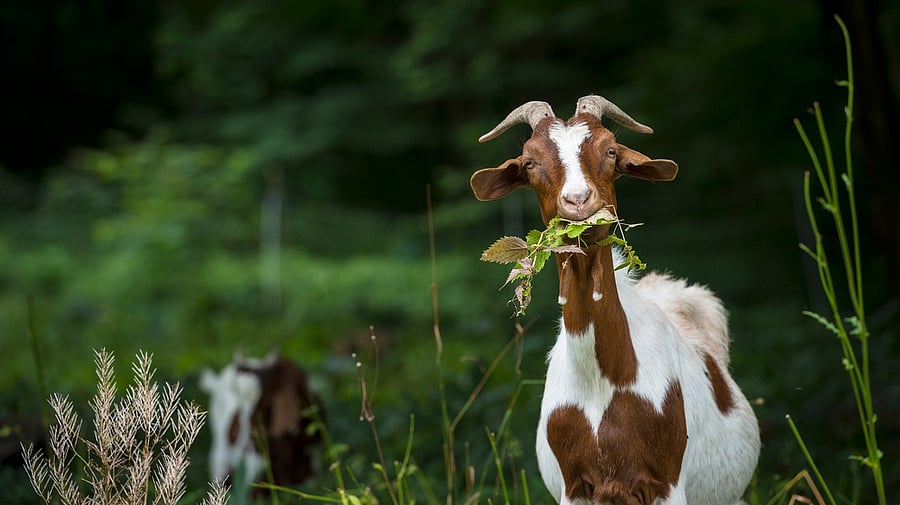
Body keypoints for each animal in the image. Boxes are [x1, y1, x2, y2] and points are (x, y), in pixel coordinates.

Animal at [470, 96, 760, 505]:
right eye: (529, 161)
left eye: (610, 150)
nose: (578, 200)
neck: (605, 380)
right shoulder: (574, 485)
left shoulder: (666, 482)